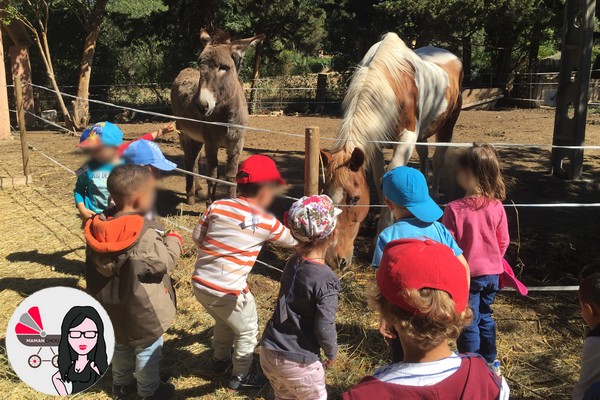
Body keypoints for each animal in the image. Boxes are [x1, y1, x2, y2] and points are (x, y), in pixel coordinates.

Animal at [171, 29, 264, 203]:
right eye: (200, 64)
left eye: (224, 67)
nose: (202, 105)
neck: (227, 116)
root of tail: (184, 70)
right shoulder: (211, 143)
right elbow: (213, 176)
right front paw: (209, 203)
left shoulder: (237, 143)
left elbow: (231, 177)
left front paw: (231, 201)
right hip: (184, 131)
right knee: (188, 159)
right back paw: (190, 195)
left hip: (198, 136)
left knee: (194, 159)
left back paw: (198, 190)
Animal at [322, 32, 462, 268]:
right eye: (327, 195)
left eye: (355, 199)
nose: (335, 260)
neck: (394, 84)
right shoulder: (376, 143)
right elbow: (380, 179)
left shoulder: (407, 138)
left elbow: (391, 175)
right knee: (424, 157)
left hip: (447, 126)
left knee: (439, 159)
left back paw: (434, 196)